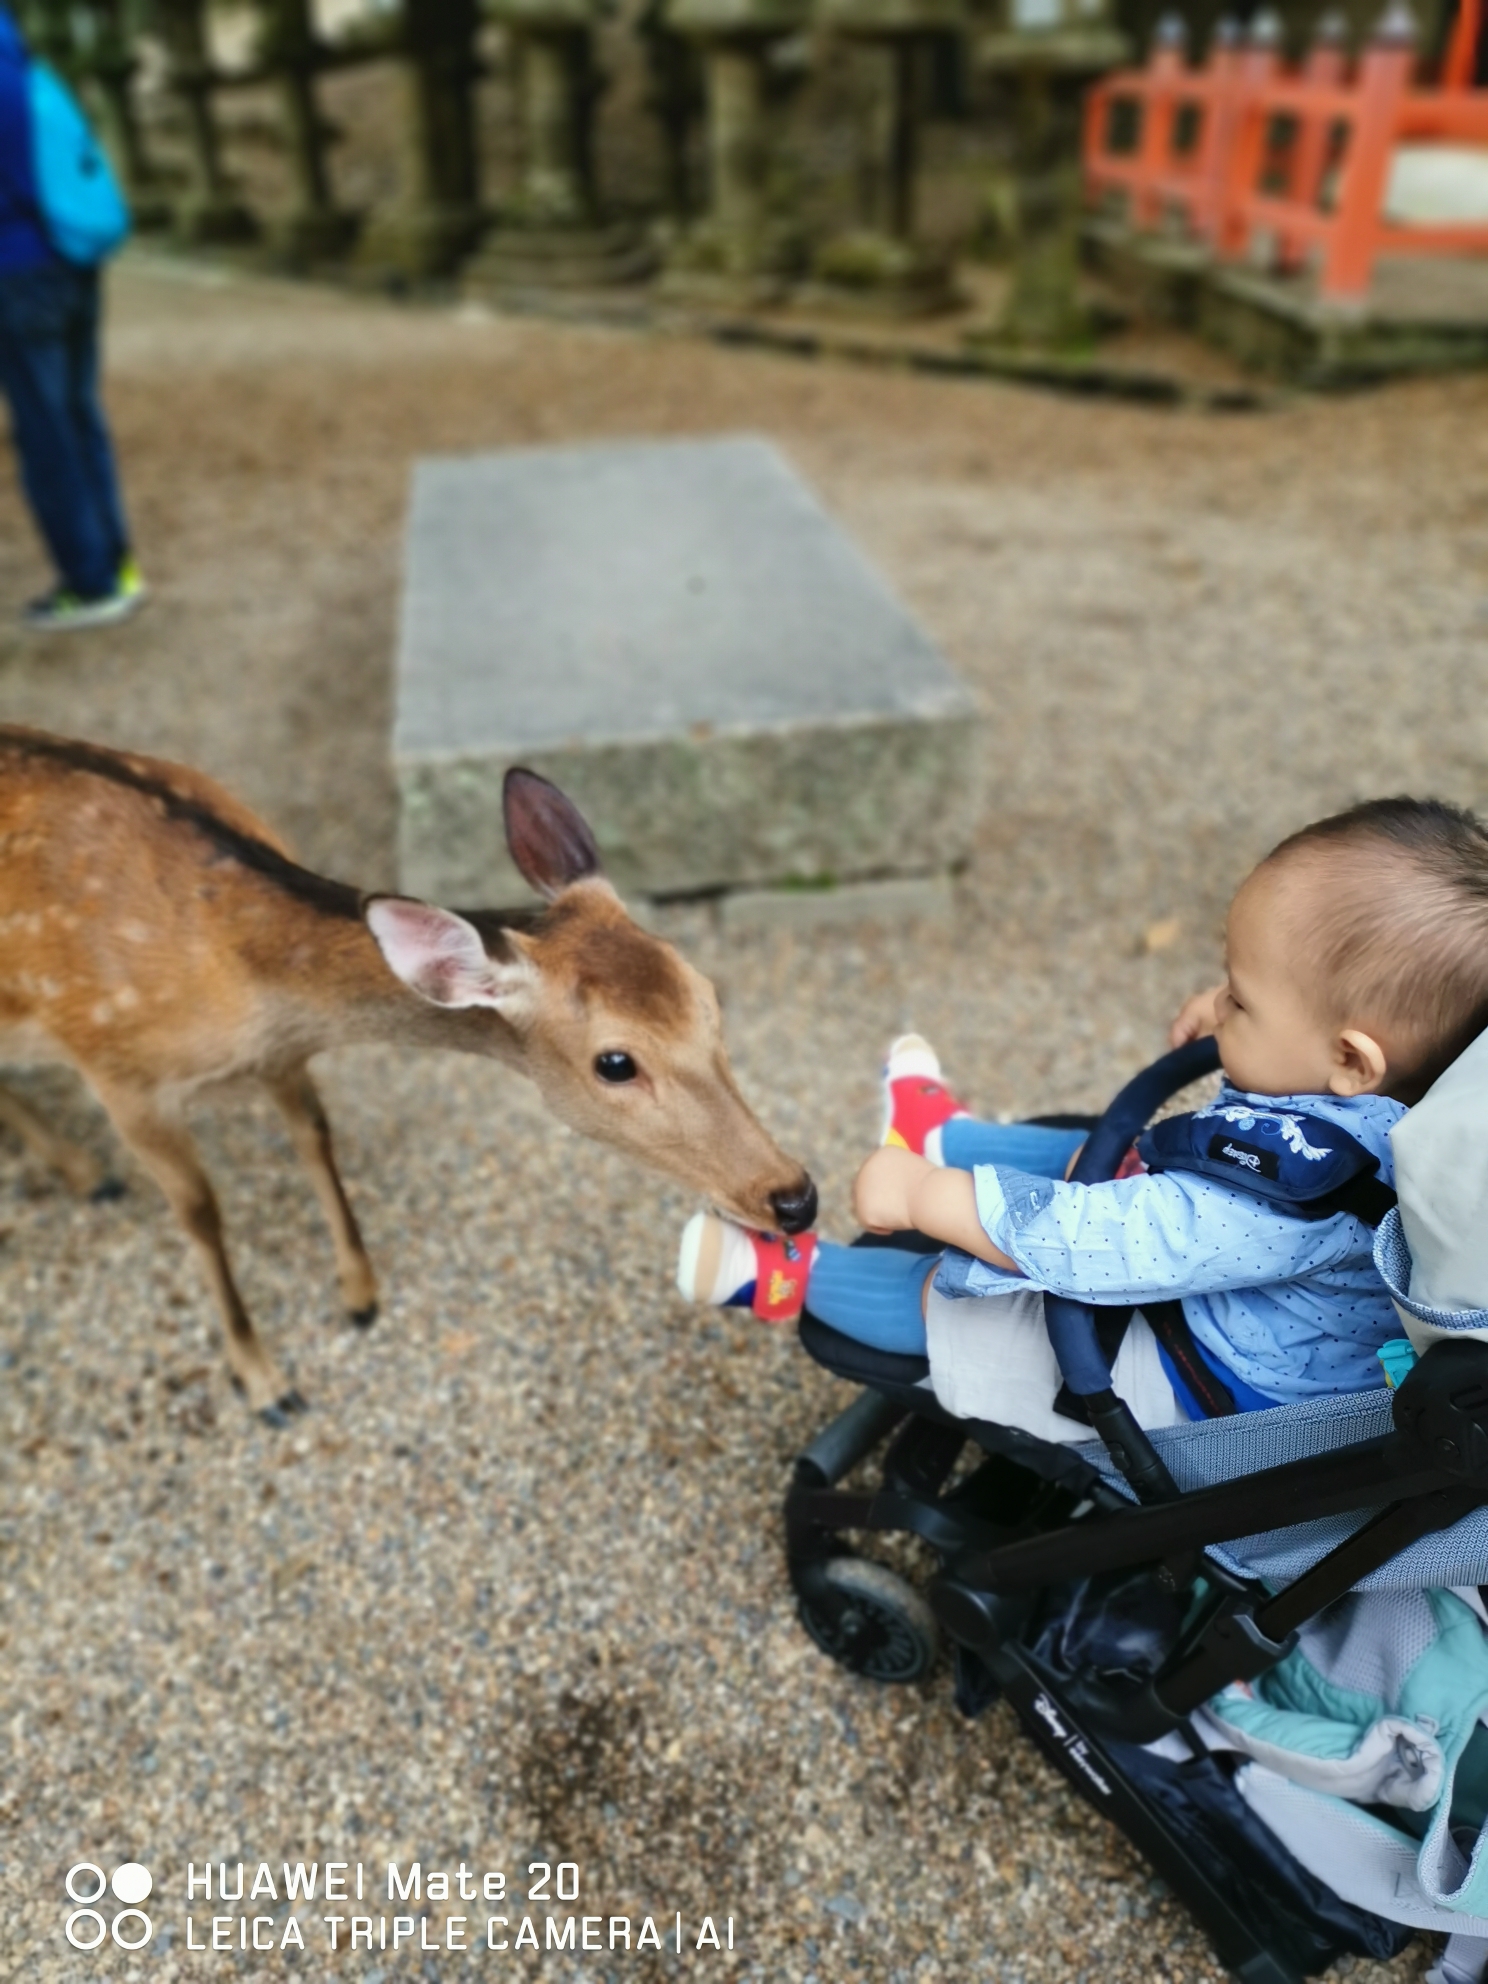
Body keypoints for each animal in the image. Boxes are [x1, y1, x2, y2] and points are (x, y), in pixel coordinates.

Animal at [0, 730, 821, 1428]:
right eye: (614, 1062)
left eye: (709, 997)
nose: (793, 1197)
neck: (245, 987)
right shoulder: (117, 1066)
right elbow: (201, 1213)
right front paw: (264, 1382)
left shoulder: (279, 1057)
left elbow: (315, 1137)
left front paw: (360, 1295)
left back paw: (81, 1170)